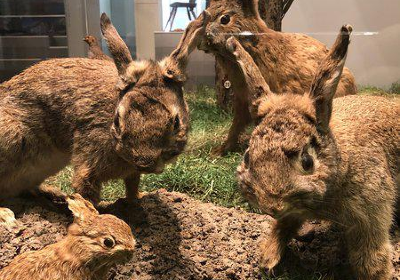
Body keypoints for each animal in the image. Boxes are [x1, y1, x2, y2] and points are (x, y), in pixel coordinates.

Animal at [0, 12, 209, 229]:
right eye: (117, 120)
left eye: (176, 122)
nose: (145, 163)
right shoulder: (87, 167)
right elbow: (87, 195)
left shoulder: (131, 173)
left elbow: (132, 186)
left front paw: (136, 204)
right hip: (13, 138)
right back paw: (7, 215)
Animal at [233, 25, 400, 278]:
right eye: (247, 157)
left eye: (307, 161)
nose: (273, 206)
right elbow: (283, 226)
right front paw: (269, 259)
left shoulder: (370, 213)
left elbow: (370, 256)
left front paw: (380, 275)